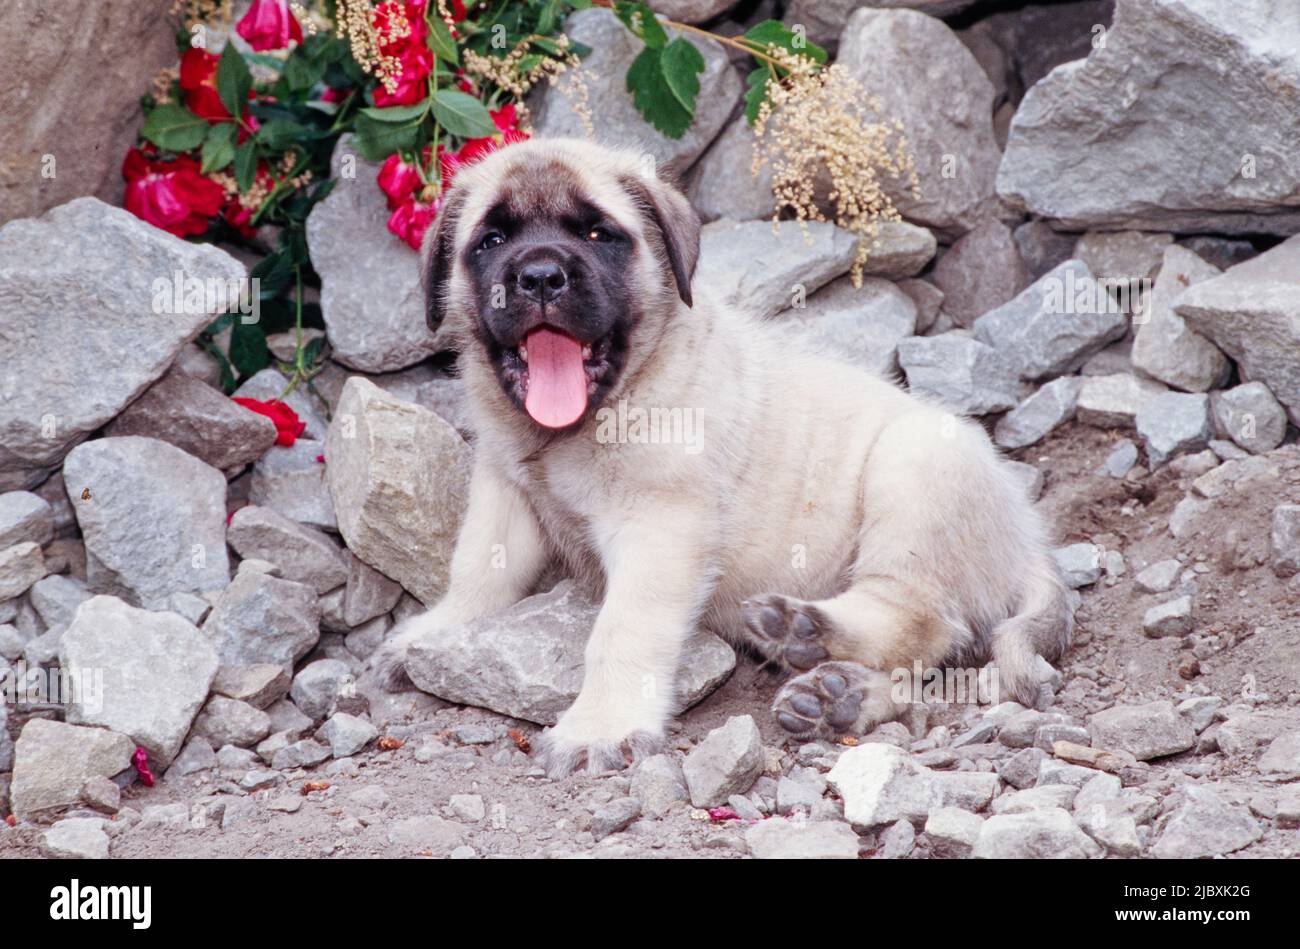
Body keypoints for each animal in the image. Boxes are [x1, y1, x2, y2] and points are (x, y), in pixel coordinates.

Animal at [369, 138, 1076, 774]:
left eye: (598, 235)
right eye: (491, 242)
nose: (540, 276)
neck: (580, 424)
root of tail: (1029, 539)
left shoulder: (660, 524)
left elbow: (622, 630)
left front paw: (601, 724)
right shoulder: (504, 485)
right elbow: (481, 571)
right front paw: (433, 634)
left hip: (916, 466)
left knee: (922, 618)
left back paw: (807, 632)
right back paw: (837, 694)